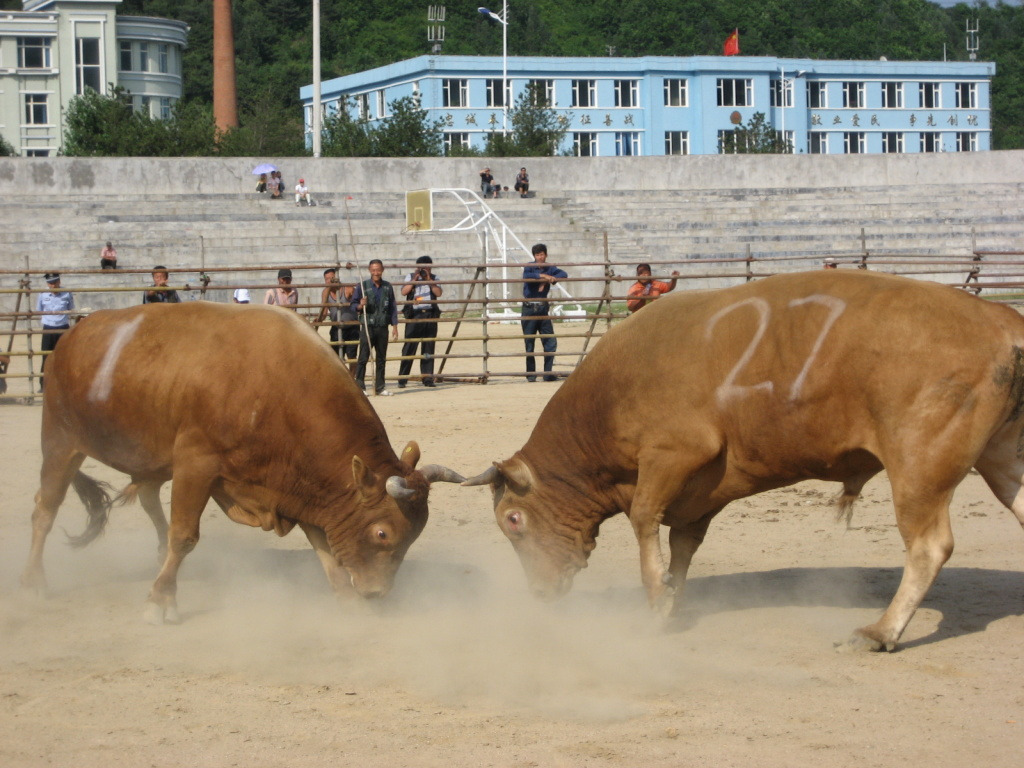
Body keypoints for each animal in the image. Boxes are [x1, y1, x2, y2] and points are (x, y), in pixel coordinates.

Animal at [468, 270, 1024, 651]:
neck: (608, 393)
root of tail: (1001, 321)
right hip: (1004, 458)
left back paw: (882, 630)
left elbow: (645, 520)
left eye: (513, 519)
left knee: (929, 545)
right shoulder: (697, 495)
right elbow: (682, 546)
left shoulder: (674, 453)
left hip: (919, 465)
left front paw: (655, 605)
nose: (540, 593)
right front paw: (673, 598)